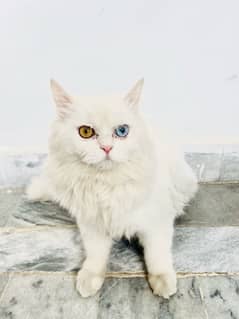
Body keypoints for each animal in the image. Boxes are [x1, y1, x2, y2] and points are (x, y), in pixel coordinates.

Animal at [26, 79, 198, 298]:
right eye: (86, 132)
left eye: (122, 131)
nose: (106, 148)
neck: (106, 184)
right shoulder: (91, 224)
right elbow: (95, 255)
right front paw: (90, 279)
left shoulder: (156, 223)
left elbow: (156, 255)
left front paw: (162, 282)